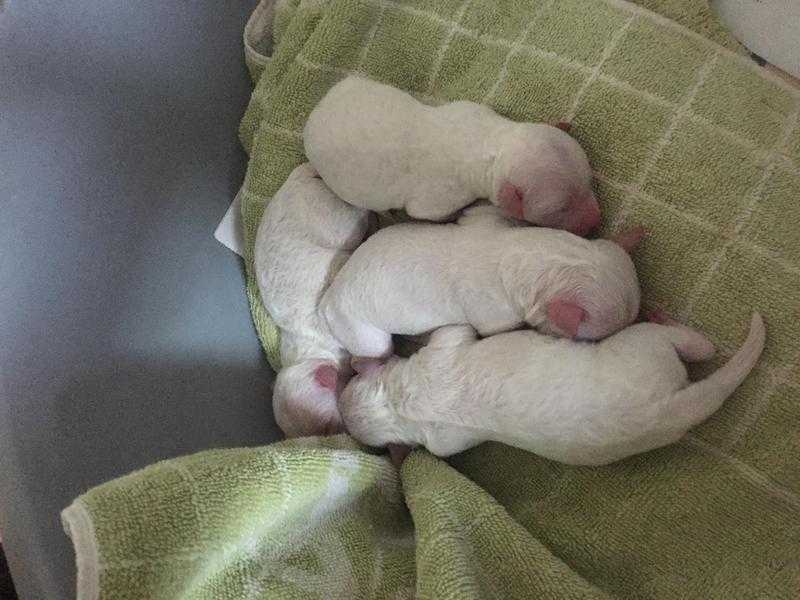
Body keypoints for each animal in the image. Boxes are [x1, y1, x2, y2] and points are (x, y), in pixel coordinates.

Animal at [304, 75, 600, 234]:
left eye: (588, 181)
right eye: (560, 210)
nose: (596, 219)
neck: (491, 148)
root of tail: (314, 115)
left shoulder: (473, 110)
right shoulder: (443, 195)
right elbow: (425, 213)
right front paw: (452, 218)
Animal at [338, 314, 764, 468]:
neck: (398, 404)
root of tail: (673, 407)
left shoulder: (439, 358)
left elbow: (453, 329)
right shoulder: (445, 438)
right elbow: (455, 331)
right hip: (644, 348)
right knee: (674, 339)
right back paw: (693, 339)